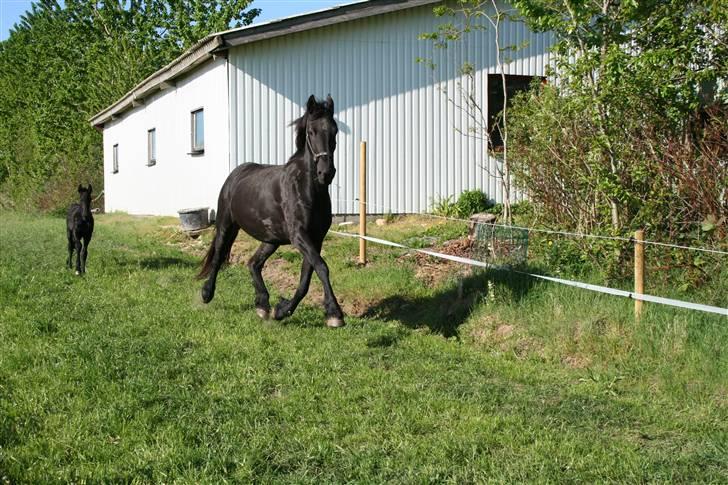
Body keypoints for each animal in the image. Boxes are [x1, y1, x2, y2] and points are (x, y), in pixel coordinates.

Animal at [198, 93, 346, 328]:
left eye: (334, 131)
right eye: (311, 132)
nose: (326, 173)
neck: (306, 188)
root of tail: (236, 174)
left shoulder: (316, 238)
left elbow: (306, 277)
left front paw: (281, 310)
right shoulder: (299, 236)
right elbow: (322, 267)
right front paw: (335, 314)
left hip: (271, 238)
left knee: (253, 263)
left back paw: (262, 305)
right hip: (226, 225)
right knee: (219, 256)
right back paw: (207, 293)